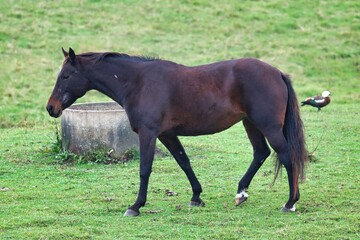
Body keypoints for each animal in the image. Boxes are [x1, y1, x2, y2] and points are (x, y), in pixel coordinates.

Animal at [46, 47, 308, 217]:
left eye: (66, 76)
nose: (51, 108)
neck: (139, 82)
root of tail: (277, 73)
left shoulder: (148, 134)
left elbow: (145, 169)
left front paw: (136, 206)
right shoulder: (167, 135)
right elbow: (184, 162)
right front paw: (196, 197)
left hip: (268, 127)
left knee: (287, 157)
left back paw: (290, 202)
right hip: (250, 124)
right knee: (261, 153)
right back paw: (241, 193)